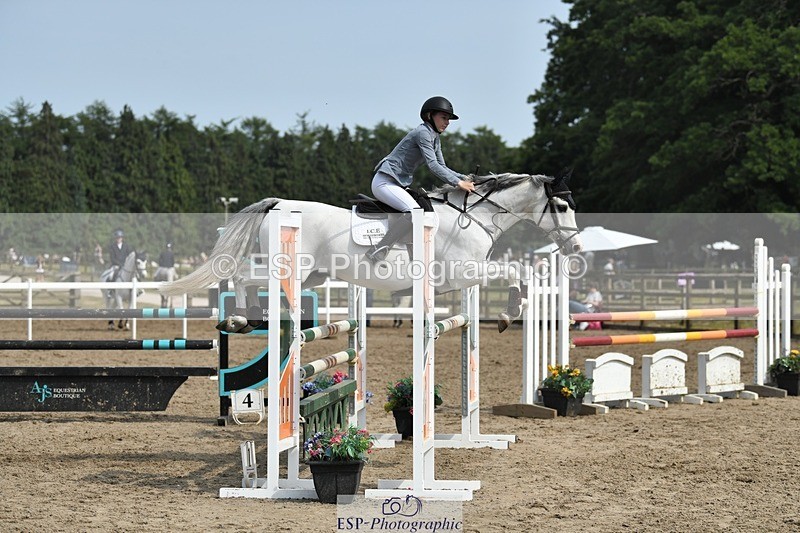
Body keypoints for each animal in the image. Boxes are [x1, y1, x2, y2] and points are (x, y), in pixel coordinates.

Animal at [161, 172, 582, 332]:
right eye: (562, 206)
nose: (576, 246)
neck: (472, 217)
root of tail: (278, 203)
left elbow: (516, 272)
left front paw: (514, 309)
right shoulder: (464, 273)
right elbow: (515, 272)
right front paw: (510, 311)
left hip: (312, 275)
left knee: (247, 278)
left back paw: (249, 318)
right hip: (293, 268)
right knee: (242, 275)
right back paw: (239, 319)